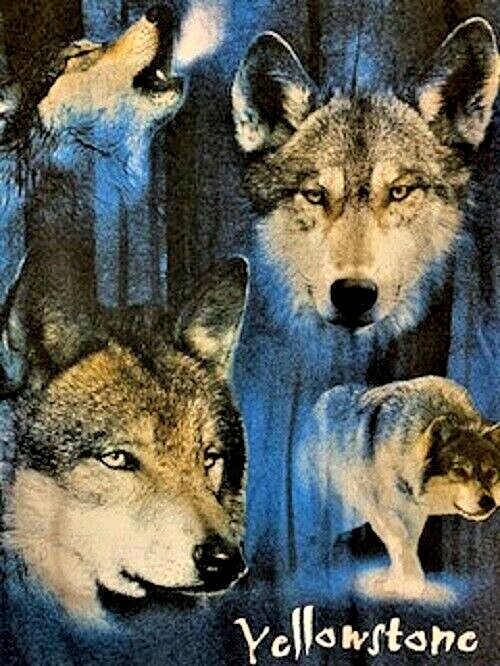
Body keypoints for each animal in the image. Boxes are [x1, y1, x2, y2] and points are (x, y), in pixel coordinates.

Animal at [299, 376, 499, 603]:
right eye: (459, 470)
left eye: (491, 473)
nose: (488, 502)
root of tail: (322, 399)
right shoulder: (377, 507)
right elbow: (399, 538)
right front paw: (409, 583)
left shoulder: (413, 513)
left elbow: (407, 544)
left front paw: (400, 583)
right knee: (315, 533)